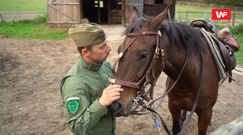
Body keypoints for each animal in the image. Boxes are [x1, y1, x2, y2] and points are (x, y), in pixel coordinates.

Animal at [109, 7, 220, 135]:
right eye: (119, 50)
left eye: (143, 54)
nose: (115, 105)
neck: (190, 80)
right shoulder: (173, 106)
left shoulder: (205, 113)